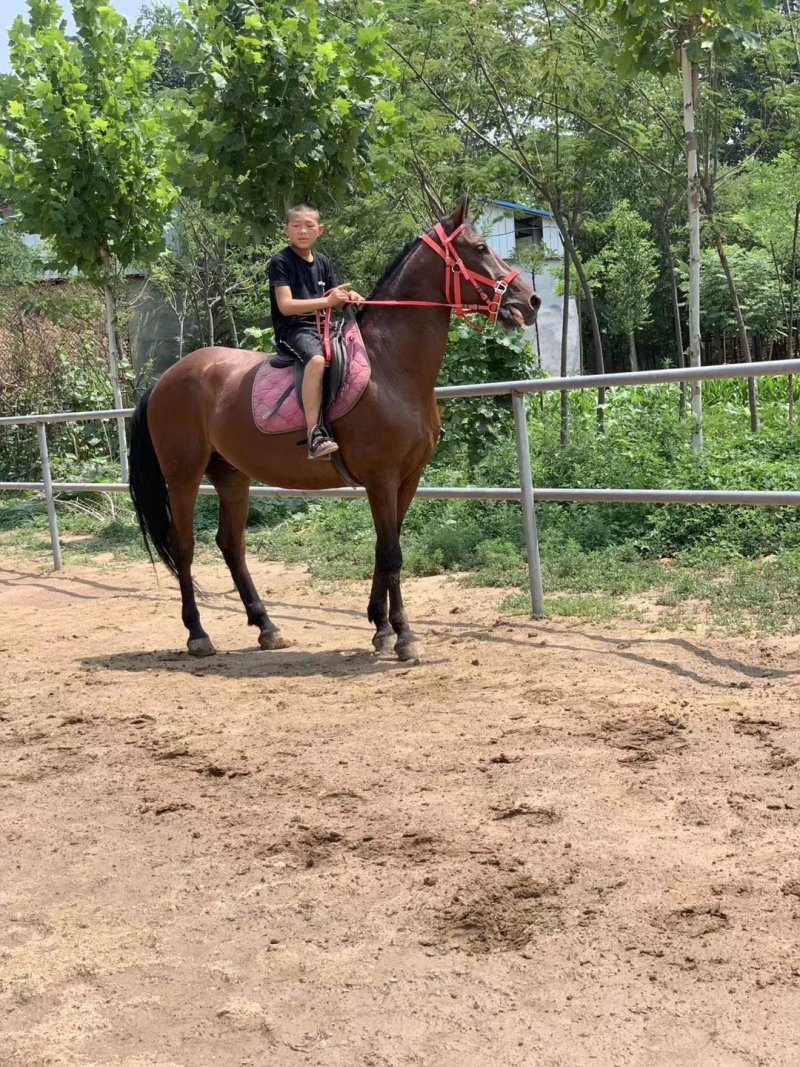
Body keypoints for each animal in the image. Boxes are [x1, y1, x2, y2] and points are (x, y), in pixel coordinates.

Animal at [130, 195, 539, 653]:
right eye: (480, 248)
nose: (531, 301)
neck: (390, 367)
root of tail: (164, 379)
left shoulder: (407, 478)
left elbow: (385, 546)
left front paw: (380, 627)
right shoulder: (382, 477)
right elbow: (392, 552)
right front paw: (403, 636)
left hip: (232, 475)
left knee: (230, 544)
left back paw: (267, 627)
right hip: (183, 475)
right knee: (183, 546)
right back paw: (199, 634)